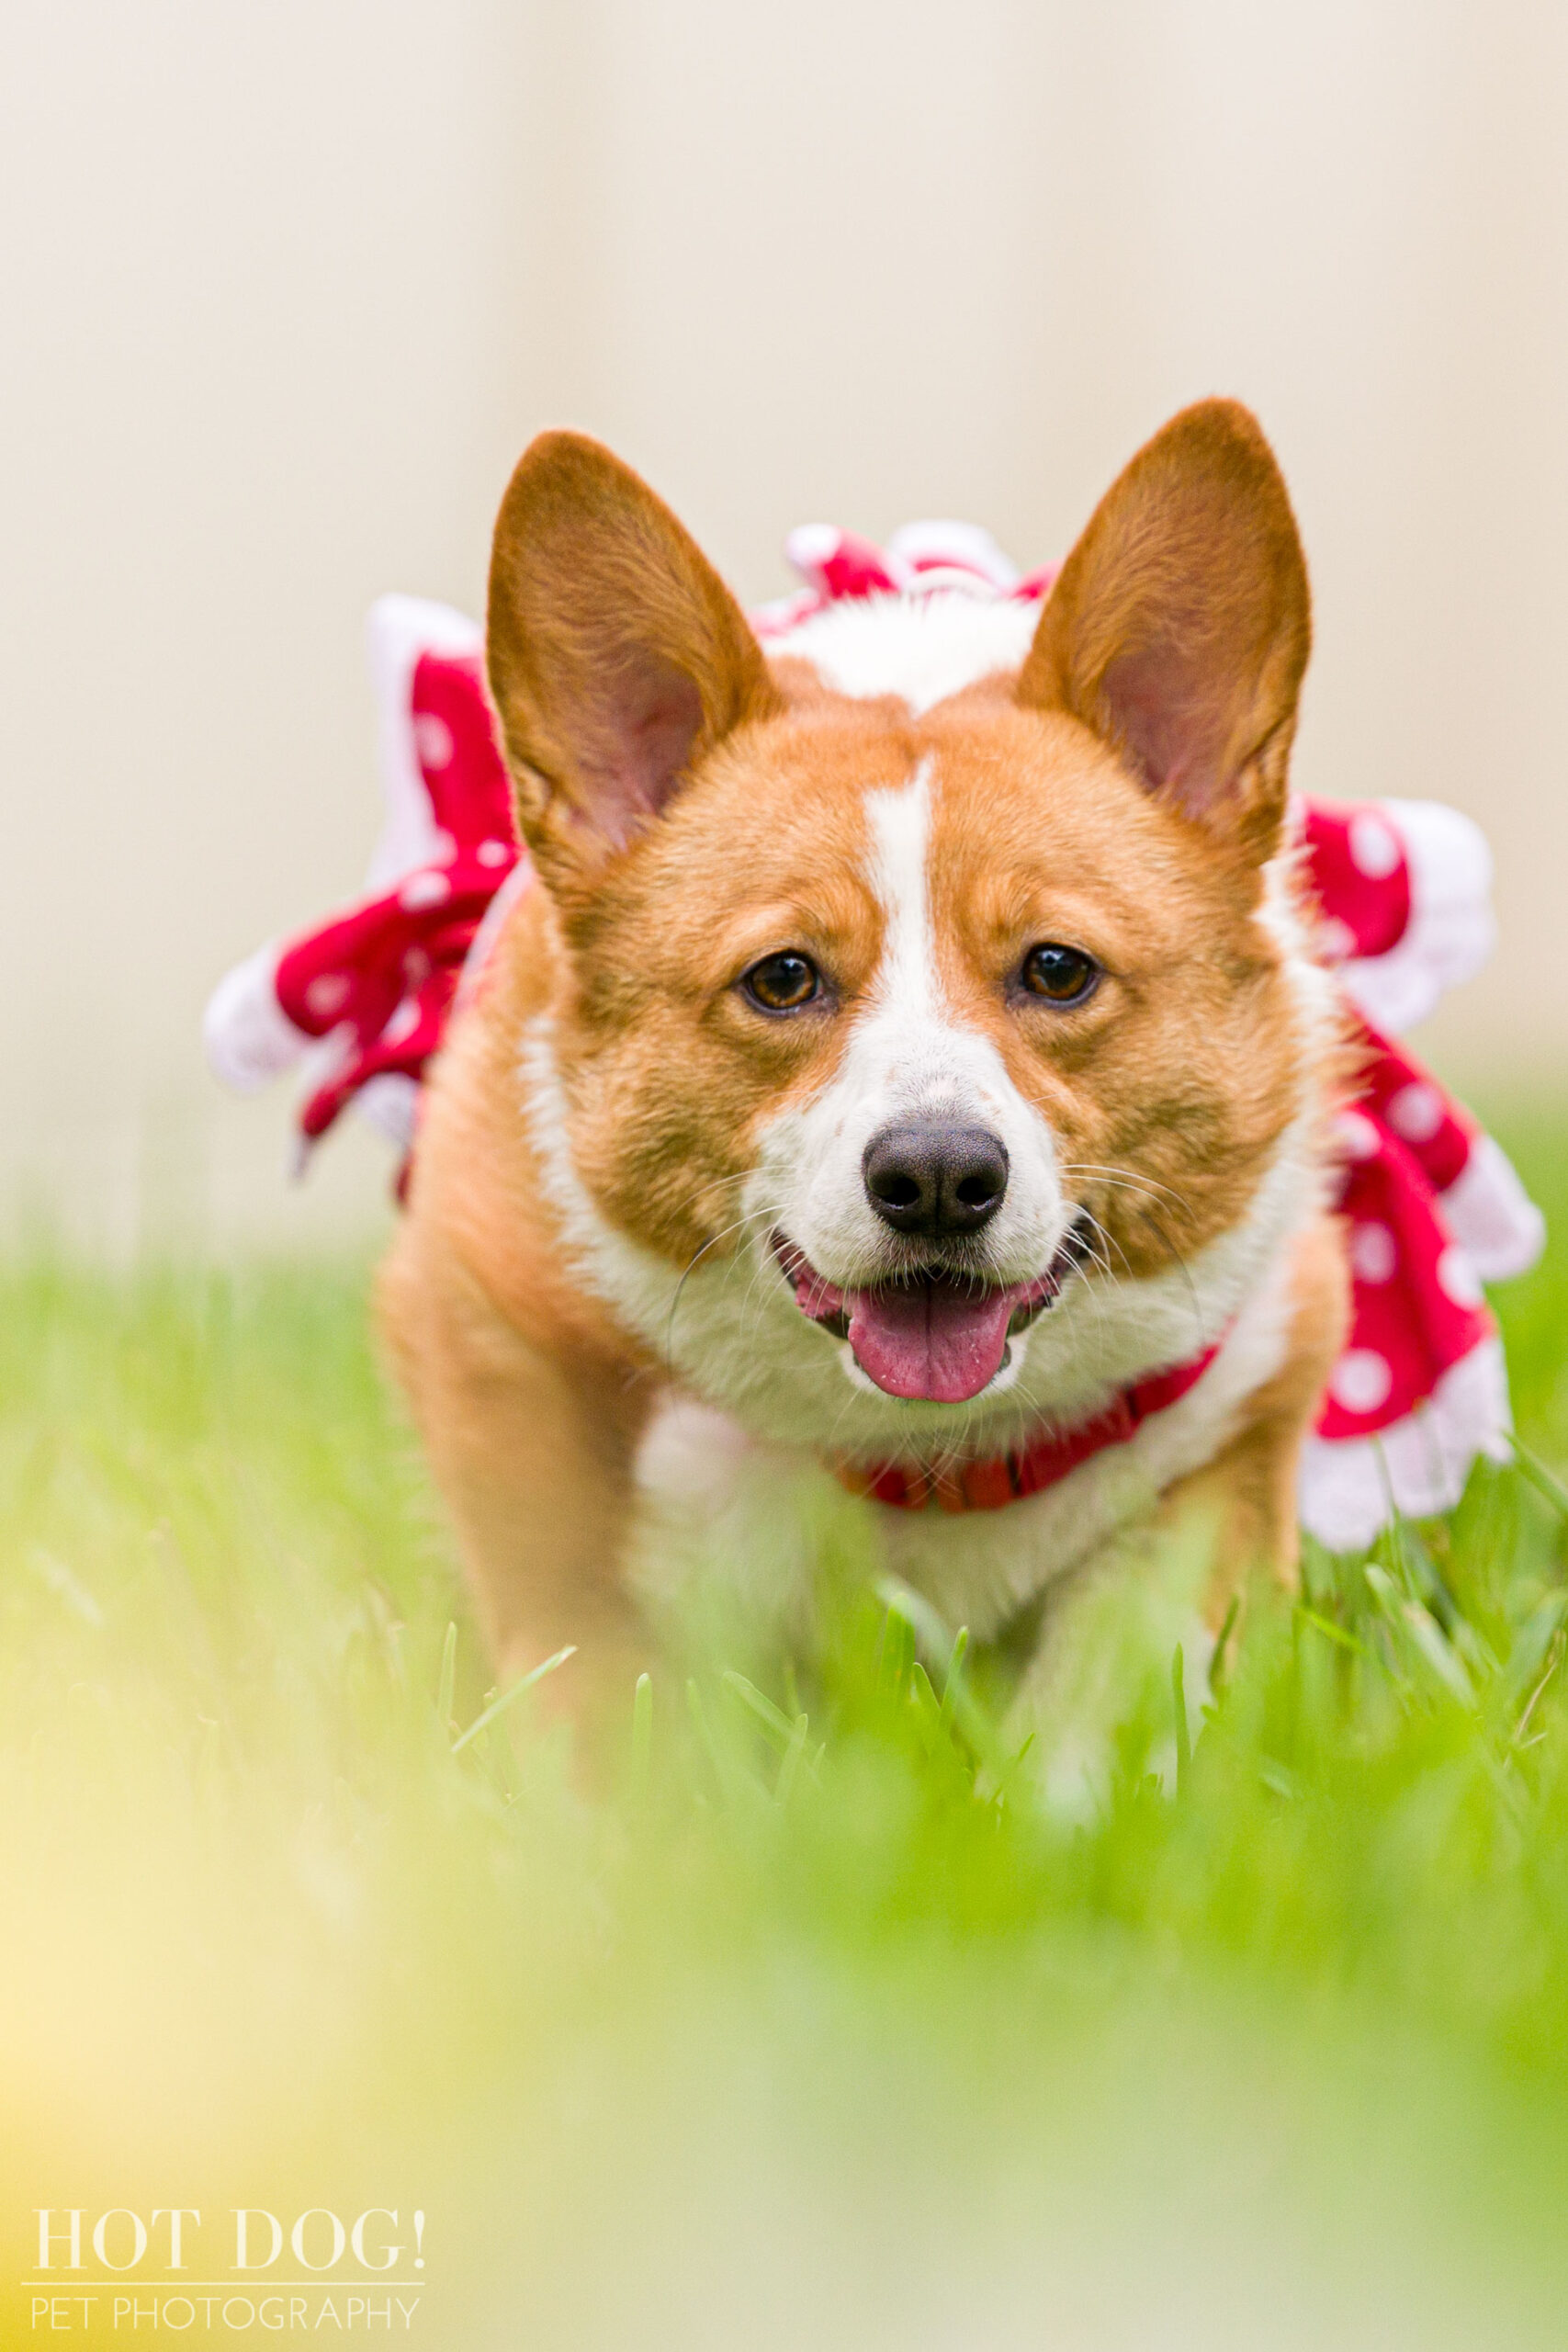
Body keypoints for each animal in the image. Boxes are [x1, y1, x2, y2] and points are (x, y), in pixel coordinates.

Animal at [376, 400, 1354, 1769]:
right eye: (783, 978)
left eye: (1058, 969)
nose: (938, 1179)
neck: (918, 1454)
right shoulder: (488, 1332)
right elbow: (595, 1682)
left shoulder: (1238, 1419)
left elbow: (1103, 1713)